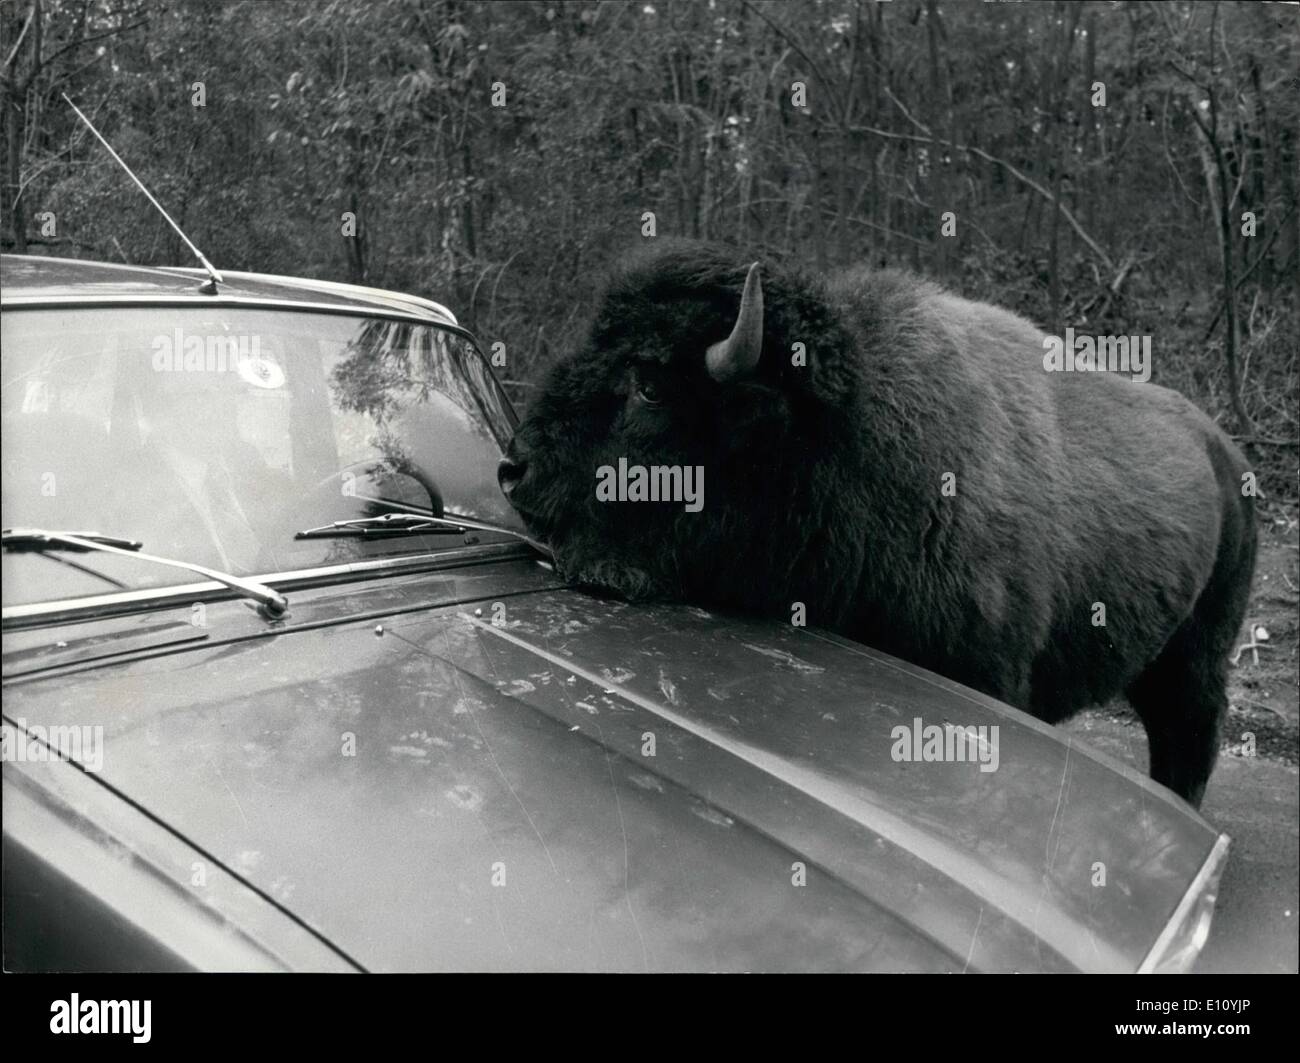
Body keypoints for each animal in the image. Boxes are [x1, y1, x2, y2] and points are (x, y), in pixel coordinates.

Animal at [496, 240, 1258, 805]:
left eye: (649, 384)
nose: (515, 468)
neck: (844, 436)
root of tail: (1225, 453)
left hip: (1195, 660)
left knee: (1188, 741)